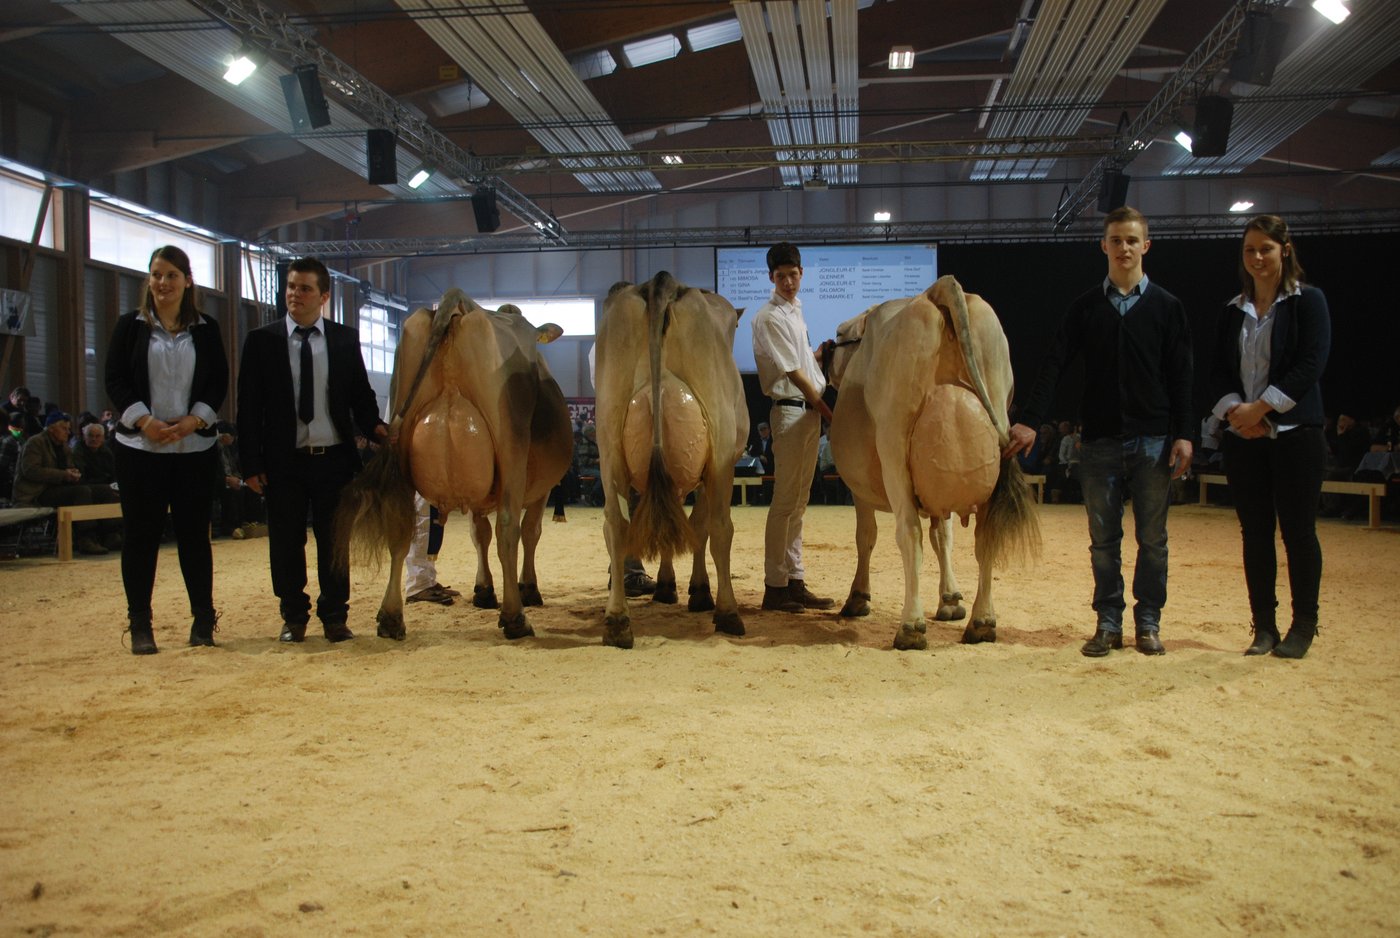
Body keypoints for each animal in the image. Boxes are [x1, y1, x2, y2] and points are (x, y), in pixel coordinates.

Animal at [336, 288, 574, 641]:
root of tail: (460, 308)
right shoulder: (539, 488)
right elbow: (529, 532)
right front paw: (526, 589)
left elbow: (479, 534)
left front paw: (484, 590)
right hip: (511, 451)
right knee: (508, 529)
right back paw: (515, 617)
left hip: (401, 447)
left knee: (402, 528)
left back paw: (391, 617)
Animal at [593, 272, 748, 649]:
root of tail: (661, 281)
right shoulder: (711, 468)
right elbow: (699, 526)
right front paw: (698, 591)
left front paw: (666, 585)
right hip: (720, 446)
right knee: (721, 527)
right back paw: (728, 612)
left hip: (608, 441)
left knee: (615, 525)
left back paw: (617, 621)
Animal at [825, 275, 1040, 650]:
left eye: (840, 335)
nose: (822, 351)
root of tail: (937, 289)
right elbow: (944, 536)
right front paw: (950, 599)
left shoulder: (859, 489)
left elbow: (866, 536)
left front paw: (858, 597)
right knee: (986, 535)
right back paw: (982, 622)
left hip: (894, 449)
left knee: (909, 532)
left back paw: (911, 626)